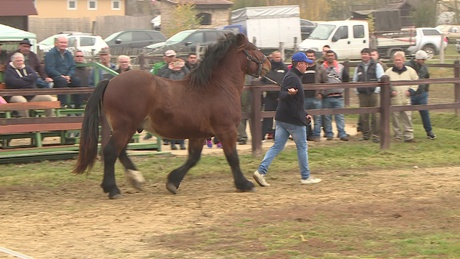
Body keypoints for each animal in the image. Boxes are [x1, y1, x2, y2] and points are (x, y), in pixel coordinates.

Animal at [72, 32, 272, 199]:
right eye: (253, 49)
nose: (268, 64)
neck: (217, 87)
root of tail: (111, 81)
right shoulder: (226, 130)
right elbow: (232, 158)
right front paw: (244, 184)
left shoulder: (198, 134)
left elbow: (193, 159)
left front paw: (173, 182)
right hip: (125, 127)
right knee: (111, 151)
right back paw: (112, 189)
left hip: (128, 128)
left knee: (120, 152)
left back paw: (136, 179)